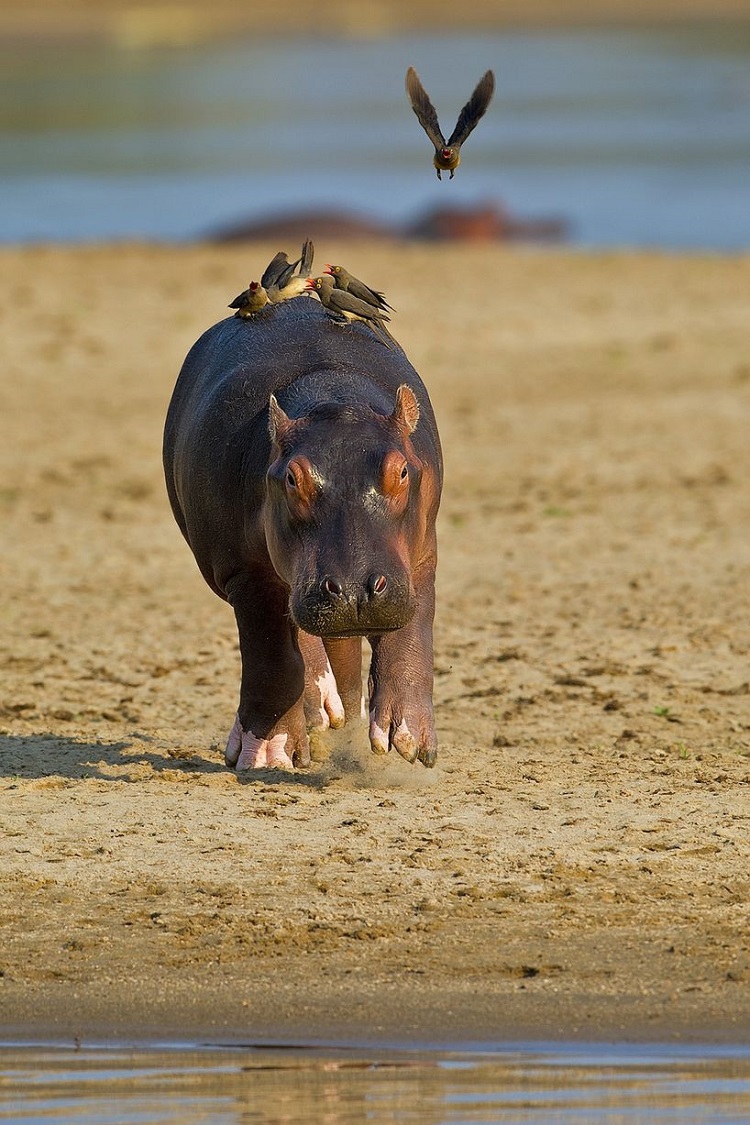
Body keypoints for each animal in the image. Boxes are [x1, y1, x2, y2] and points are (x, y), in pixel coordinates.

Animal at [161, 299, 443, 769]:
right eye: (293, 479)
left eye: (402, 471)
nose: (354, 589)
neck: (334, 398)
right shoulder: (244, 571)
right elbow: (272, 655)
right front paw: (265, 756)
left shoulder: (421, 553)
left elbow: (413, 628)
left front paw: (409, 739)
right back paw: (313, 715)